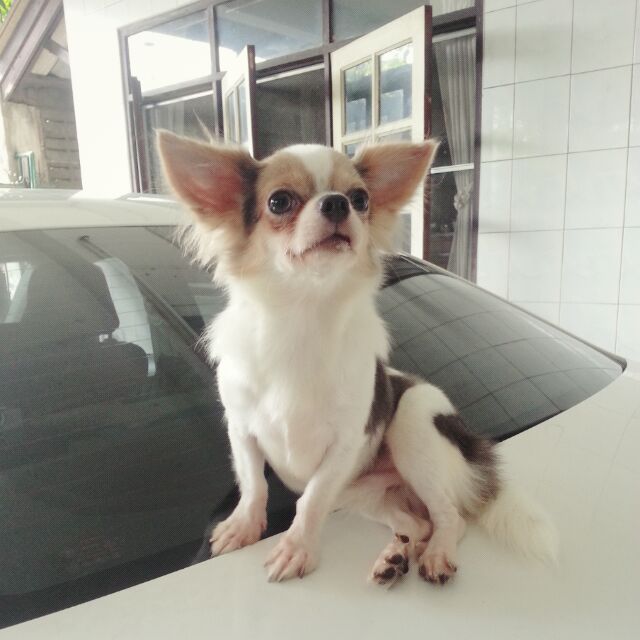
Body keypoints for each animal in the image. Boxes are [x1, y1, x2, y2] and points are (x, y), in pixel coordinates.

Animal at [158, 132, 558, 586]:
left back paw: (436, 554)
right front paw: (244, 525)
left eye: (361, 199)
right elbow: (254, 484)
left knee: (450, 517)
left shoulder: (344, 445)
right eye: (279, 201)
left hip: (413, 427)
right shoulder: (242, 430)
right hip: (364, 494)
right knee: (417, 523)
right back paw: (394, 557)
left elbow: (310, 500)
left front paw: (296, 548)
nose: (336, 203)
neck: (304, 315)